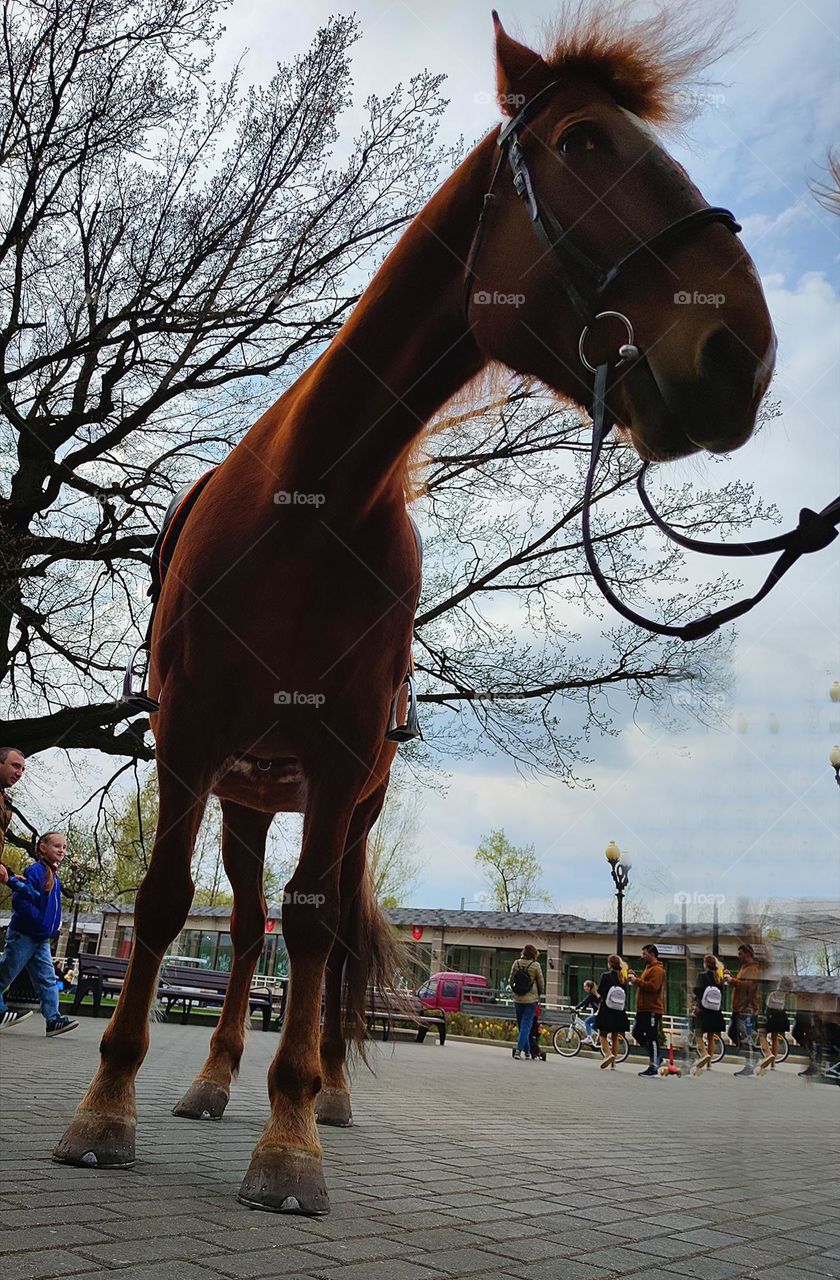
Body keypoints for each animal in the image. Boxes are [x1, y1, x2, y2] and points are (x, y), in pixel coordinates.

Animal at [54, 10, 773, 1208]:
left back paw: (323, 1090)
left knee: (327, 933)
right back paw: (211, 1077)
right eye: (583, 142)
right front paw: (106, 1104)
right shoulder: (189, 737)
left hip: (345, 806)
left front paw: (291, 1136)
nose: (743, 354)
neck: (315, 496)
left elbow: (315, 931)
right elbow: (161, 906)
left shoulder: (344, 758)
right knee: (241, 930)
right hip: (250, 796)